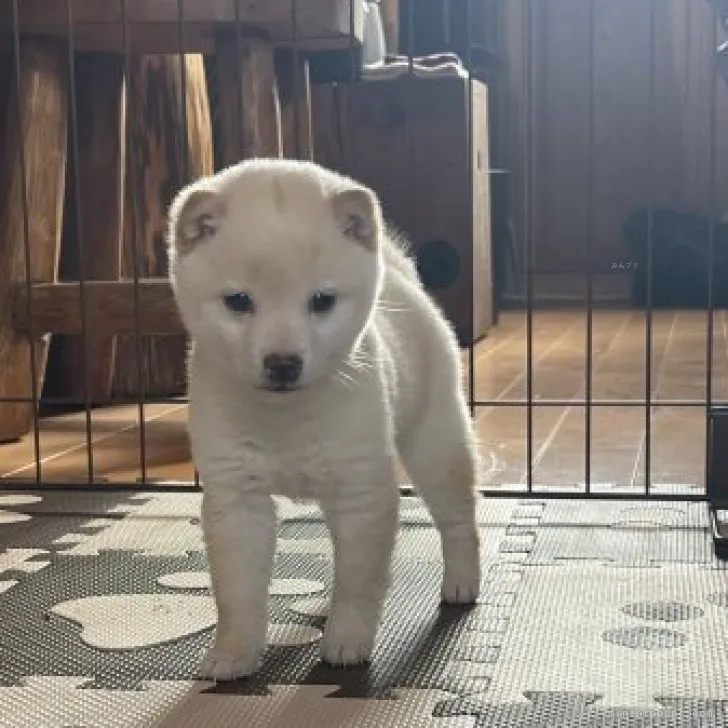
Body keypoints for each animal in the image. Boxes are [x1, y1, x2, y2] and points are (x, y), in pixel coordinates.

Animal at [168, 156, 480, 680]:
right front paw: (233, 653)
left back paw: (462, 582)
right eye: (238, 301)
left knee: (458, 520)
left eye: (322, 301)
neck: (285, 418)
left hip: (435, 442)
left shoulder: (361, 490)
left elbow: (358, 581)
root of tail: (401, 277)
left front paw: (347, 641)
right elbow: (237, 593)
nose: (282, 363)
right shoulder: (237, 497)